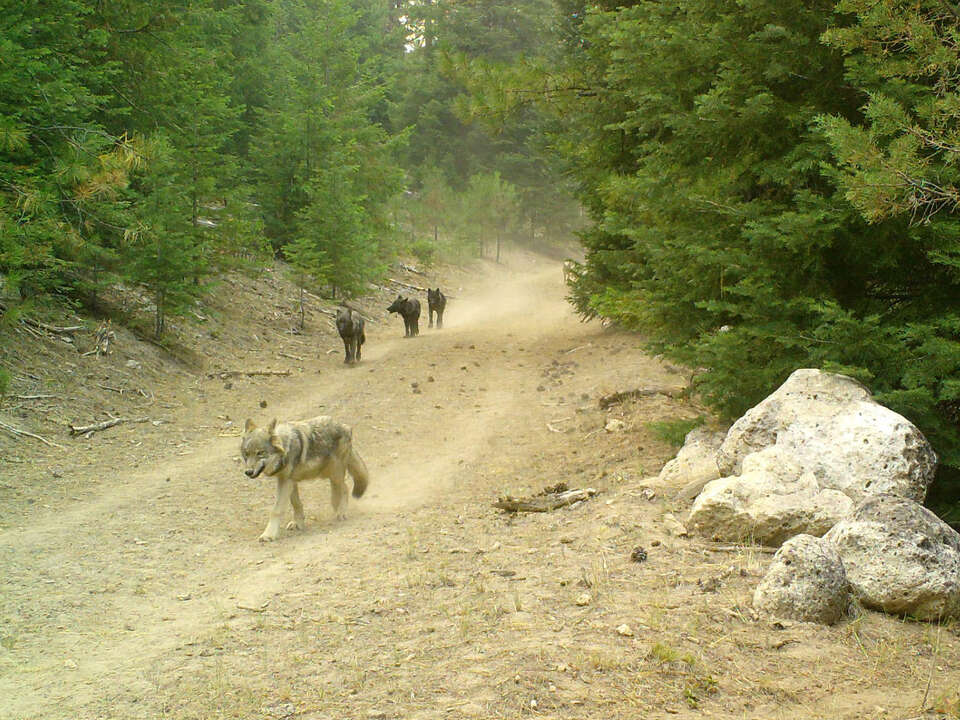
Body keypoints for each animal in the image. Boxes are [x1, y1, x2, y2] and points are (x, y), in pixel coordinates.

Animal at [242, 416, 370, 540]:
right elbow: (296, 504)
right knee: (339, 490)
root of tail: (346, 427)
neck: (286, 447)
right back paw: (336, 506)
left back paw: (341, 512)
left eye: (260, 453)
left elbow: (276, 510)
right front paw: (298, 523)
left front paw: (268, 535)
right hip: (328, 474)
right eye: (246, 454)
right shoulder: (289, 480)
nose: (248, 472)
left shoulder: (286, 481)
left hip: (334, 473)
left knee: (345, 488)